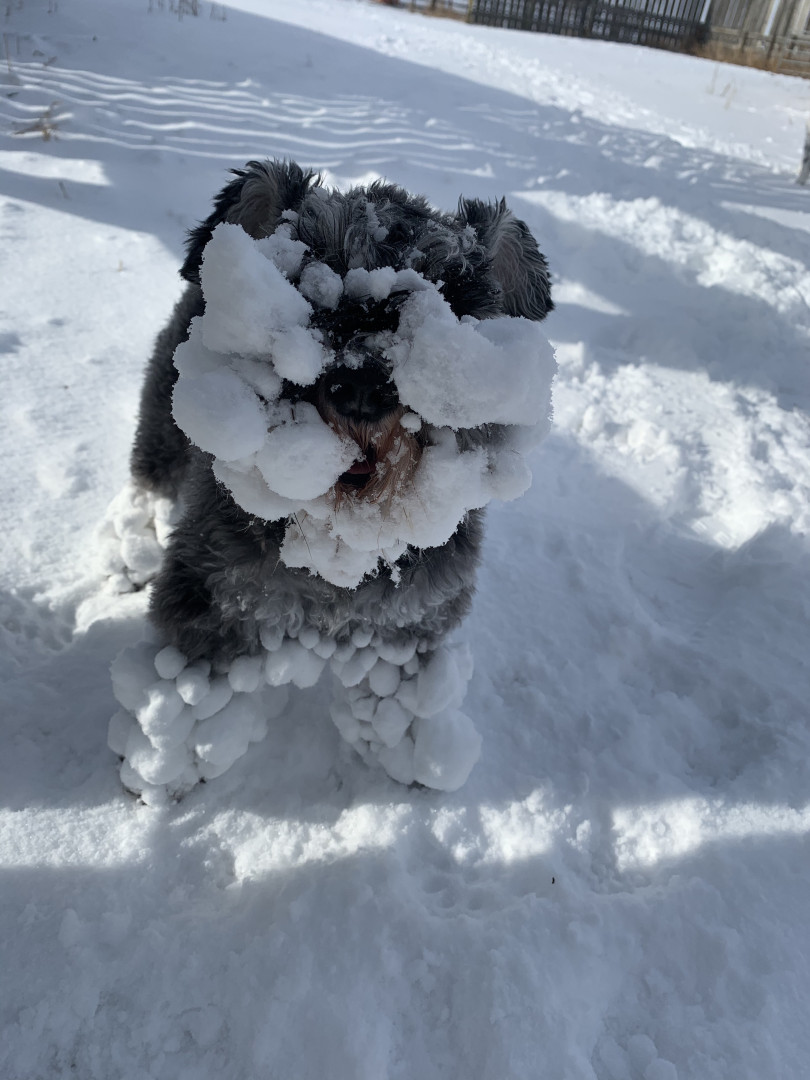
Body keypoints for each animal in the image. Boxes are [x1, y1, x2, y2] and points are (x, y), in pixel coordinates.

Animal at [108, 159, 554, 802]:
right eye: (305, 276)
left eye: (452, 295)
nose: (362, 387)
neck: (341, 540)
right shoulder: (212, 592)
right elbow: (189, 688)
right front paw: (163, 764)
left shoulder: (410, 618)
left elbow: (400, 688)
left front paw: (415, 755)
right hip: (164, 424)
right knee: (148, 479)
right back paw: (130, 550)